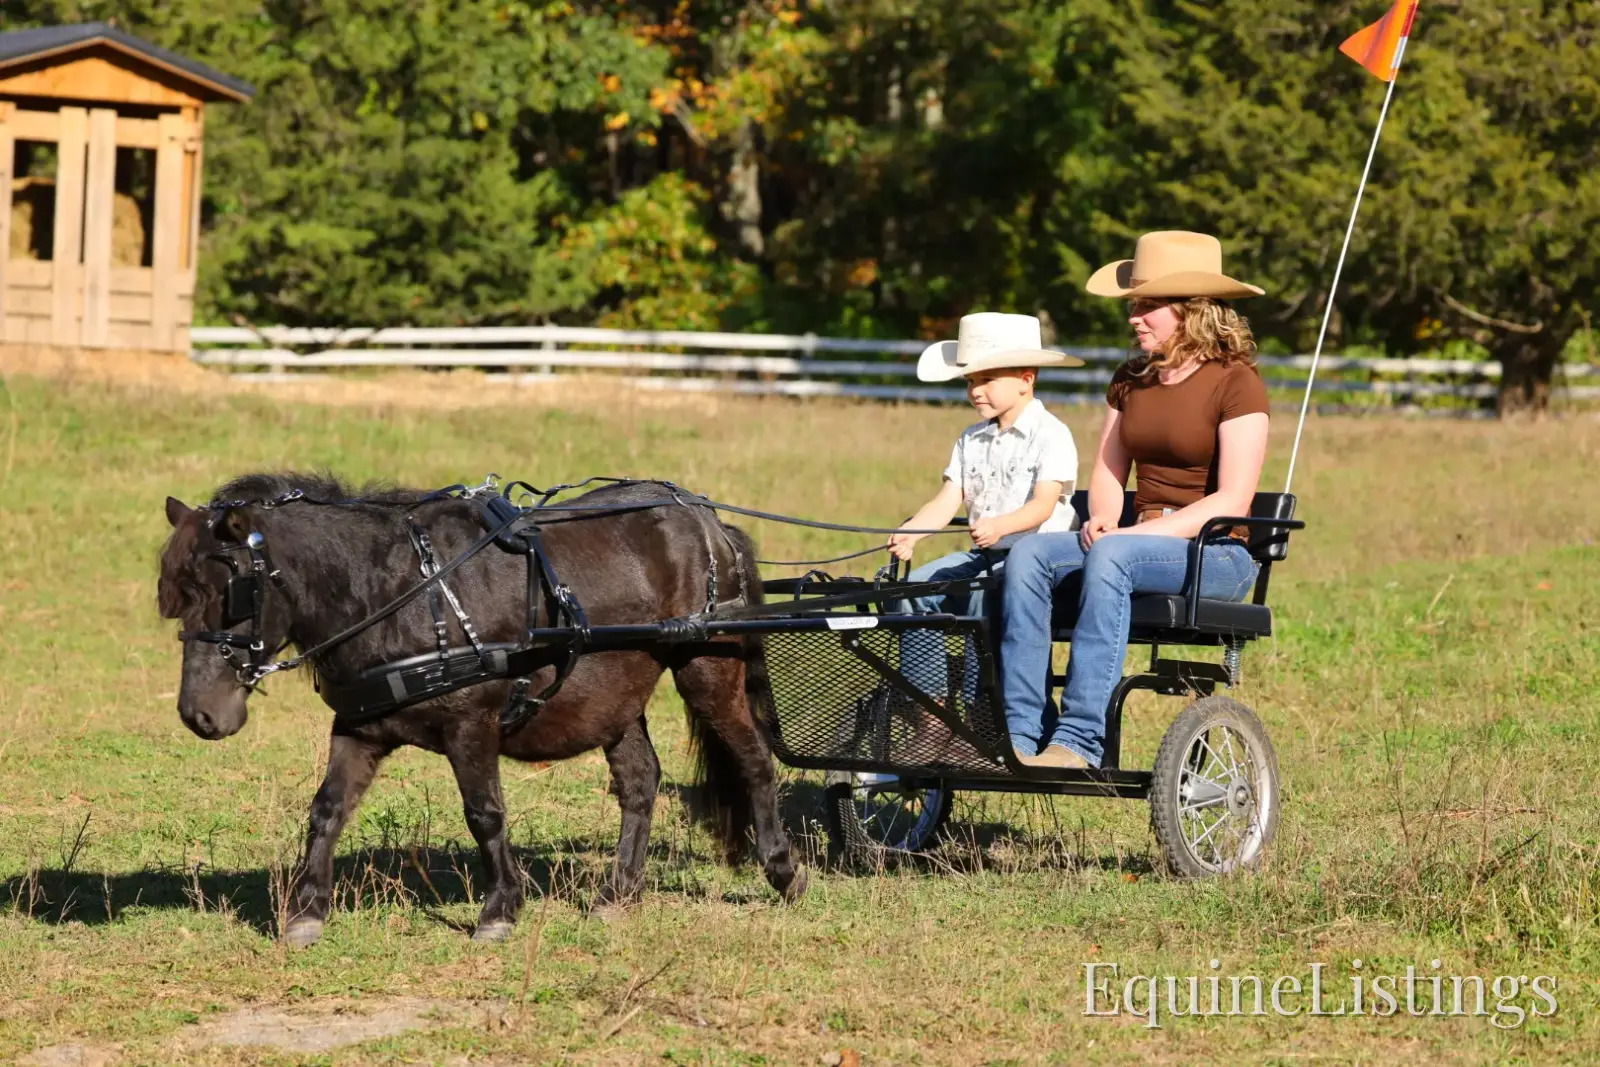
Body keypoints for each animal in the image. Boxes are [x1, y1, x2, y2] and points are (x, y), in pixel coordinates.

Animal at [157, 473, 806, 946]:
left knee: (753, 760)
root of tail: (706, 517)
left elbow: (485, 815)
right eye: (175, 597)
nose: (199, 715)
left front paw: (499, 911)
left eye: (231, 593)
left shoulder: (472, 726)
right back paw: (617, 894)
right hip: (618, 692)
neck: (397, 593)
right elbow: (327, 811)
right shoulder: (360, 727)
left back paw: (782, 870)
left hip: (707, 667)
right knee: (641, 782)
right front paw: (308, 911)